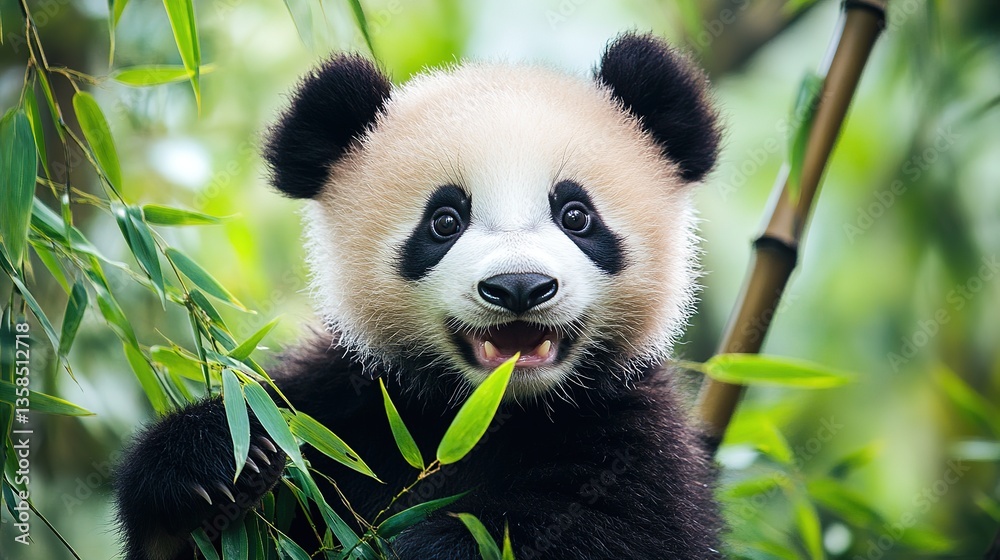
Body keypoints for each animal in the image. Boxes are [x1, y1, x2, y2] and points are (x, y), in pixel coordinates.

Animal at [114, 32, 724, 560]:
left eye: (576, 215)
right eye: (444, 221)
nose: (519, 287)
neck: (483, 411)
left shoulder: (632, 441)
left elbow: (595, 528)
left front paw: (436, 543)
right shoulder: (346, 407)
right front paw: (210, 463)